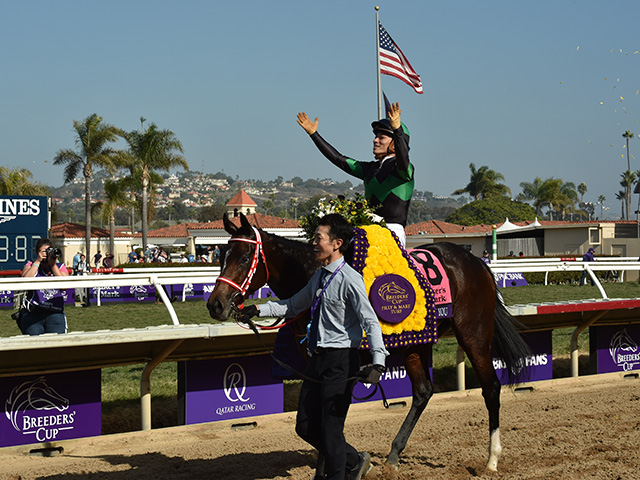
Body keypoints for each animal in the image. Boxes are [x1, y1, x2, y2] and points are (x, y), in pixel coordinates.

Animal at [206, 214, 528, 472]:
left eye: (244, 258)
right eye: (222, 256)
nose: (215, 304)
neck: (315, 273)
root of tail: (476, 263)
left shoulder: (349, 369)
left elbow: (330, 422)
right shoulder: (314, 364)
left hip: (474, 333)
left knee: (491, 387)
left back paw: (492, 459)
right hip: (416, 341)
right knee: (423, 391)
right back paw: (394, 454)